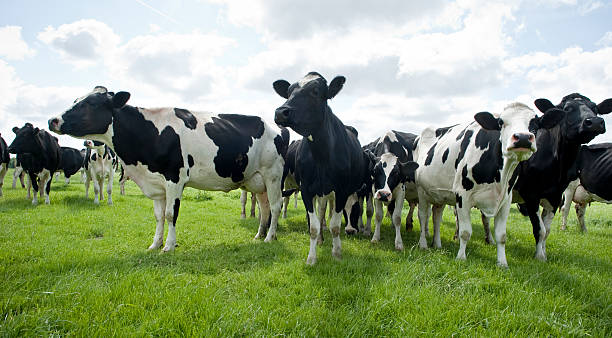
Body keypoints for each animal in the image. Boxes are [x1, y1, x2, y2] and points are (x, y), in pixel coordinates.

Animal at [49, 86, 288, 251]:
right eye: (76, 100)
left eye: (90, 103)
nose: (53, 120)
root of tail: (277, 127)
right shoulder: (156, 184)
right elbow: (158, 216)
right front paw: (154, 244)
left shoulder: (175, 178)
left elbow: (171, 214)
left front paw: (168, 246)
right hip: (257, 180)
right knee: (265, 207)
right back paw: (260, 235)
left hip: (273, 175)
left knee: (275, 206)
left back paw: (269, 237)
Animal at [274, 72, 378, 266]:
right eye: (289, 91)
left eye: (315, 91)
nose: (280, 112)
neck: (321, 155)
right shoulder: (307, 190)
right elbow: (314, 226)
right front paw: (311, 257)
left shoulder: (342, 190)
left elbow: (335, 225)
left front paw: (337, 253)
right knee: (321, 213)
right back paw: (321, 239)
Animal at [416, 103, 564, 266]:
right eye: (501, 122)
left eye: (535, 123)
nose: (523, 137)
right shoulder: (462, 196)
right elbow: (465, 232)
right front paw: (461, 257)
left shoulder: (506, 200)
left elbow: (501, 235)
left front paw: (502, 262)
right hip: (422, 192)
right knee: (423, 216)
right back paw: (423, 244)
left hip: (439, 195)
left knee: (437, 217)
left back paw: (437, 244)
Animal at [512, 93, 612, 262]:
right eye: (567, 109)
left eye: (595, 108)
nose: (594, 122)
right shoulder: (531, 194)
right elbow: (539, 228)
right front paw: (539, 257)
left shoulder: (554, 195)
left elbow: (547, 229)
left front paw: (543, 253)